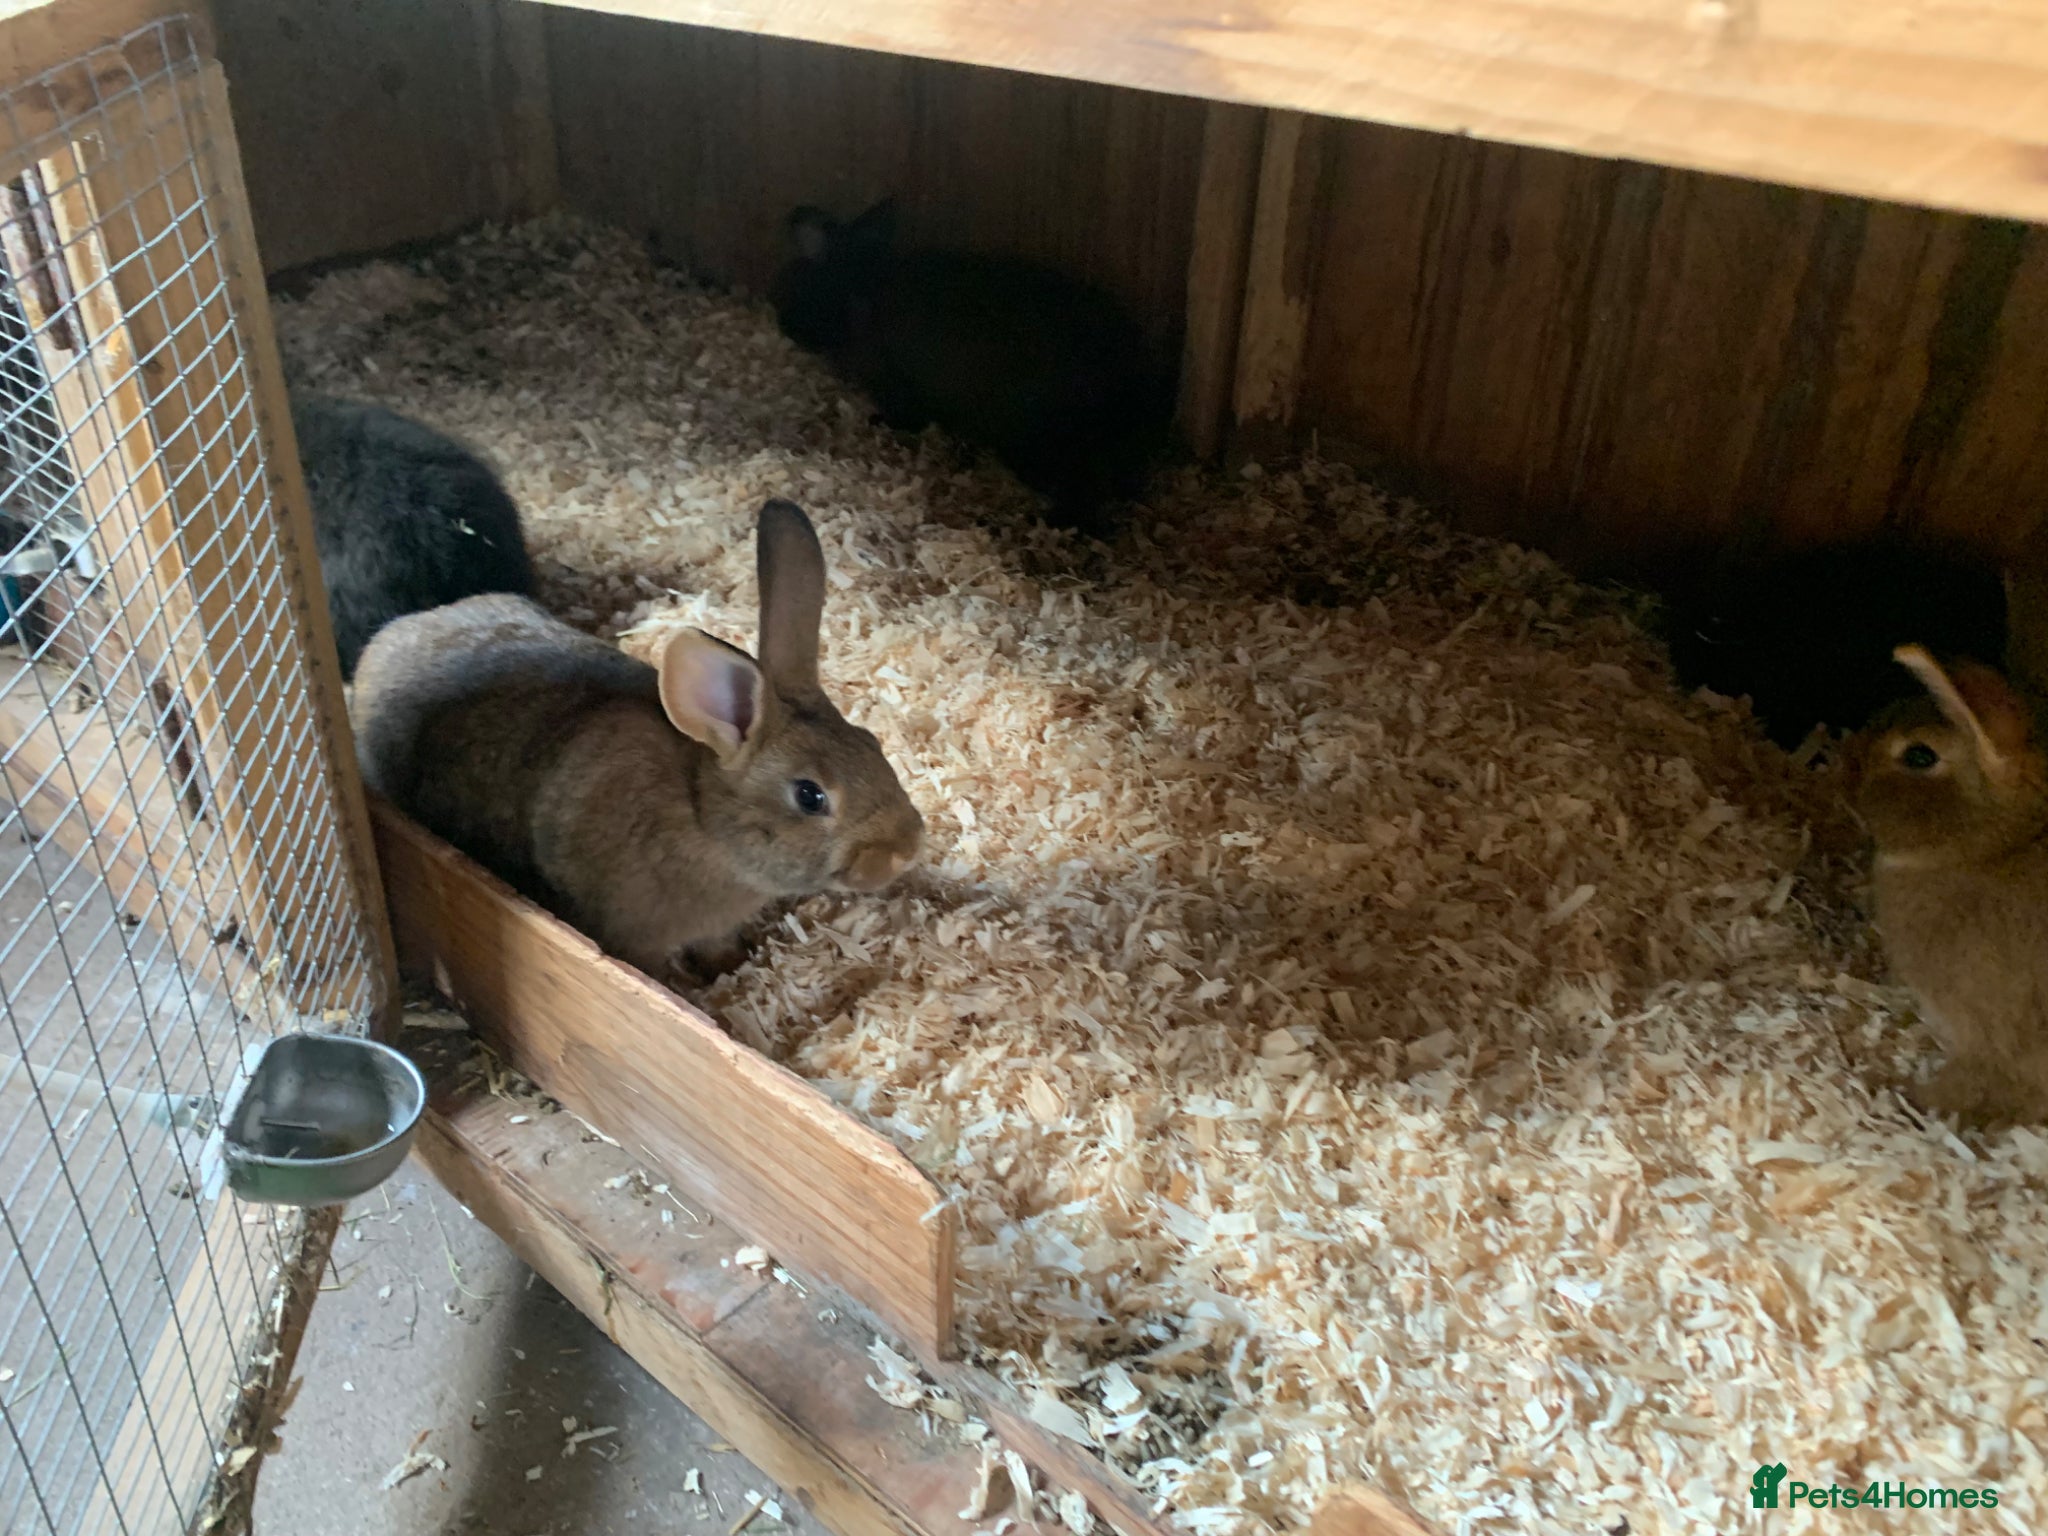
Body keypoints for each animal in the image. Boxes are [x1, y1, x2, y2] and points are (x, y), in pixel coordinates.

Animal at [350, 498, 925, 982]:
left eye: (872, 744)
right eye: (810, 795)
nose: (905, 851)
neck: (702, 818)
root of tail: (388, 640)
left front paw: (726, 966)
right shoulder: (634, 935)